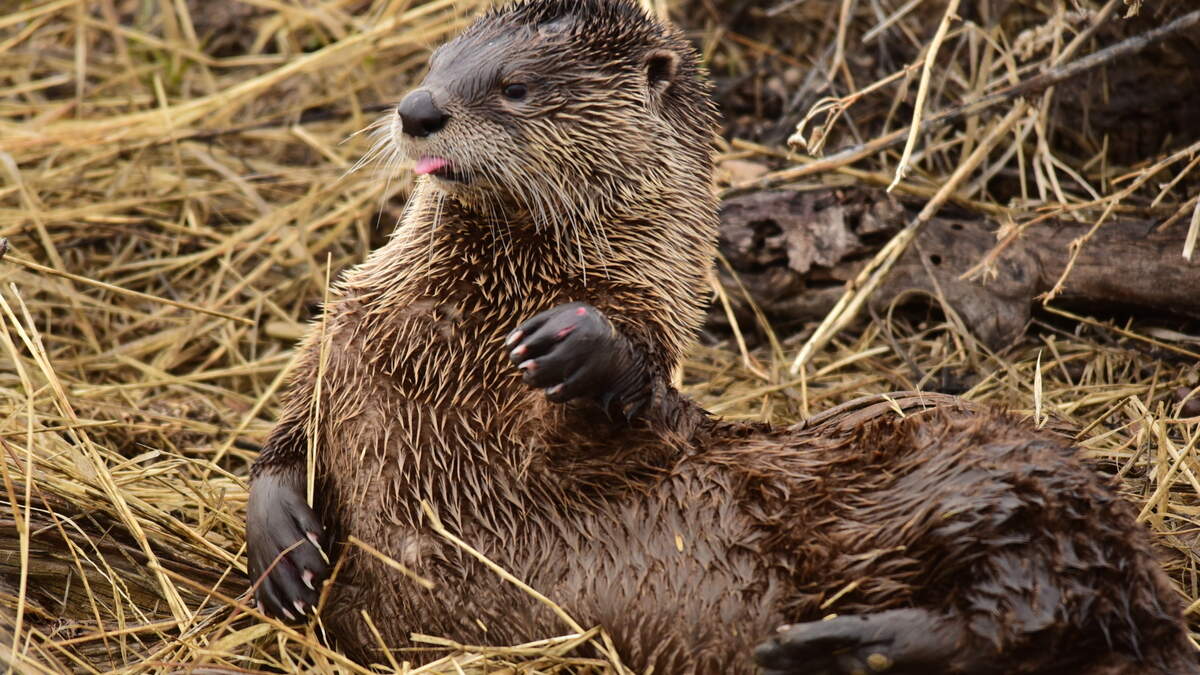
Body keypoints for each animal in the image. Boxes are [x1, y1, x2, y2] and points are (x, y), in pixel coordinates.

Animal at [245, 0, 1198, 672]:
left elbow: (647, 395)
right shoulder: (347, 328)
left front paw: (583, 341)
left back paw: (837, 643)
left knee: (1023, 601)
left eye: (514, 84)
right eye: (438, 62)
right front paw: (282, 545)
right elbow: (285, 433)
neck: (450, 336)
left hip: (981, 474)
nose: (418, 110)